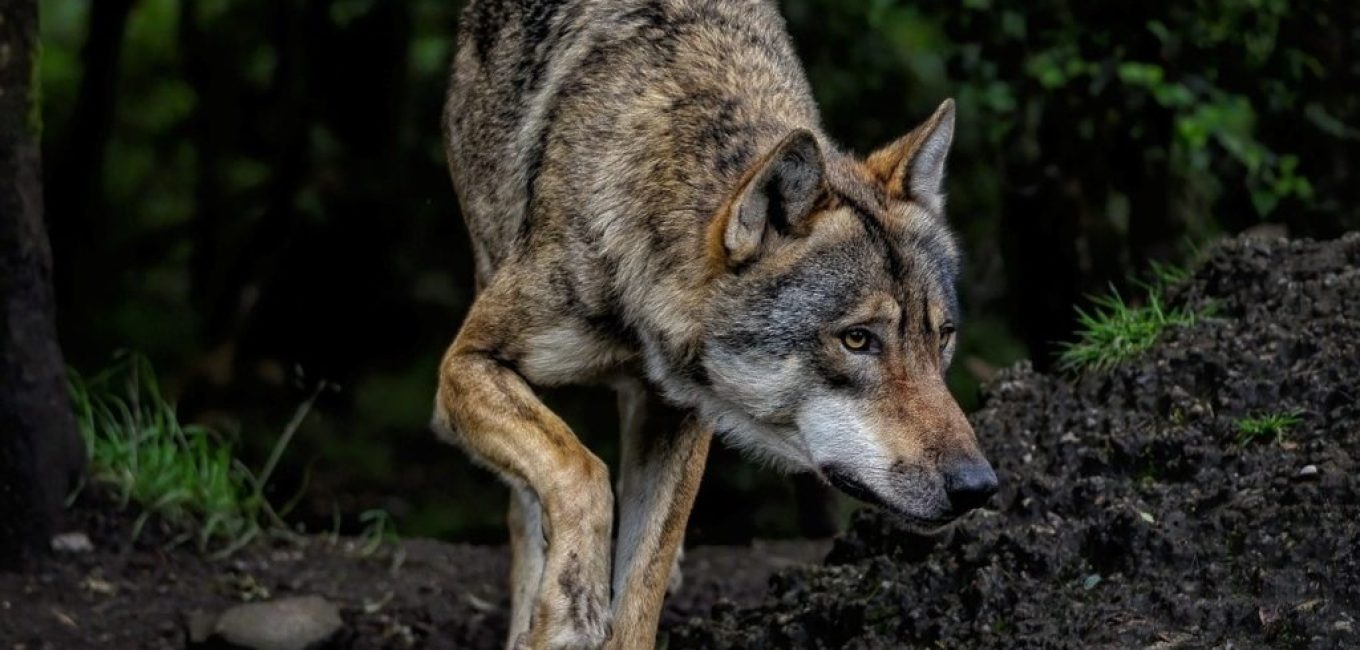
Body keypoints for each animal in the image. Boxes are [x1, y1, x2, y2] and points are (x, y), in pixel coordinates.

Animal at [433, 0, 998, 647]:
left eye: (942, 337)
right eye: (857, 340)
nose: (978, 486)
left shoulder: (680, 414)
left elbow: (642, 586)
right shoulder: (465, 365)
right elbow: (579, 470)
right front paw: (571, 604)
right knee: (528, 503)